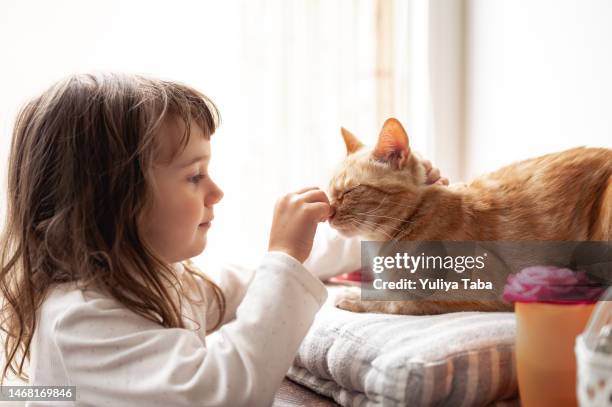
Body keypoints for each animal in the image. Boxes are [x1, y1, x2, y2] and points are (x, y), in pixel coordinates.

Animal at [330, 118, 612, 316]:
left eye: (348, 191)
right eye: (330, 192)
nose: (329, 213)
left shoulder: (488, 286)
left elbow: (399, 298)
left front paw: (352, 294)